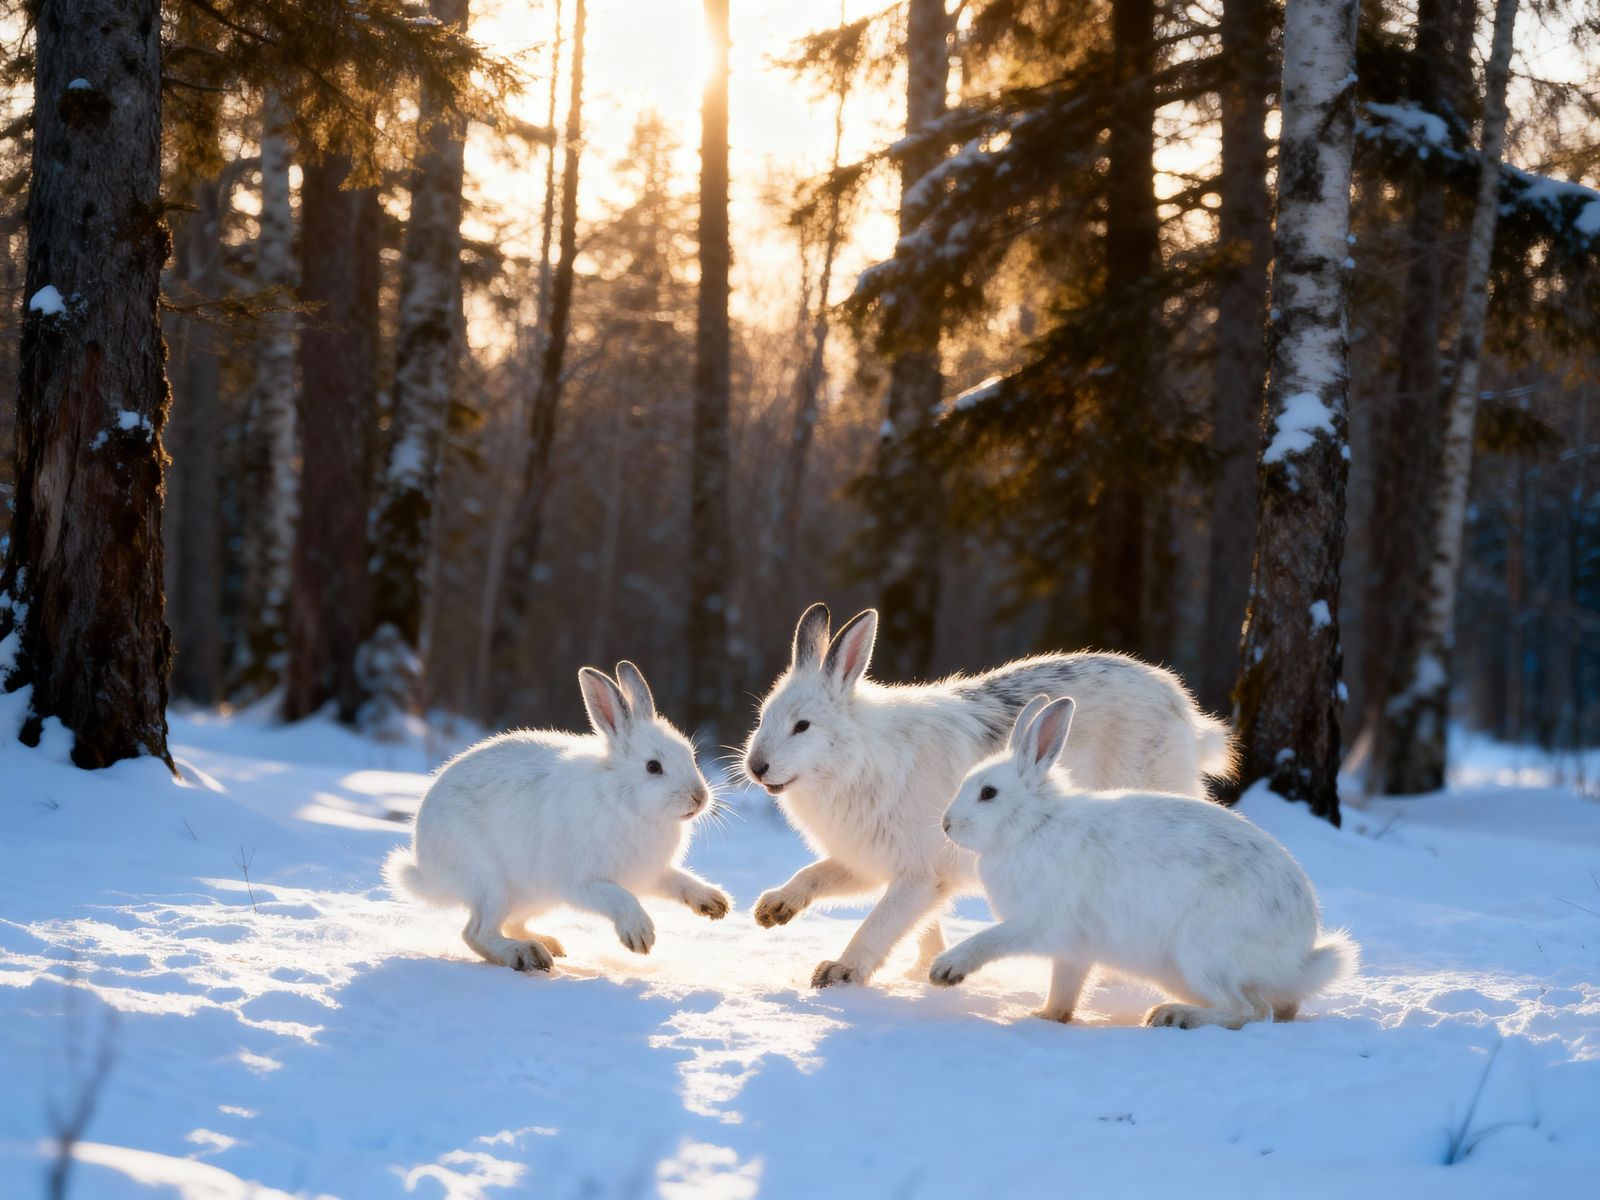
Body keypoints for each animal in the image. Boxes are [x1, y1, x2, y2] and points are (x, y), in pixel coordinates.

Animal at [384, 662, 731, 971]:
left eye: (690, 755)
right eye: (653, 767)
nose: (699, 798)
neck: (623, 797)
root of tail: (427, 869)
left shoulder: (651, 873)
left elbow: (679, 881)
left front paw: (715, 904)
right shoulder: (582, 880)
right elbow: (621, 899)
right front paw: (640, 935)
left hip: (529, 897)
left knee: (508, 925)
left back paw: (547, 944)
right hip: (490, 884)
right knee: (476, 933)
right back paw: (524, 955)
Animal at [741, 602, 1234, 989]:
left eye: (802, 726)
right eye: (763, 716)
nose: (755, 767)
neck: (859, 758)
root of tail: (1183, 711)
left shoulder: (920, 874)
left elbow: (880, 924)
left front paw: (841, 972)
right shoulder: (868, 861)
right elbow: (818, 877)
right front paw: (773, 909)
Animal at [931, 695, 1357, 1028]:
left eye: (988, 793)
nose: (947, 824)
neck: (1036, 825)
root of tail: (1297, 957)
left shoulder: (1040, 924)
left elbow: (988, 939)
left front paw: (945, 971)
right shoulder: (1073, 952)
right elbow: (1065, 986)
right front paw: (1046, 1017)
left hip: (1203, 951)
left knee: (1249, 1010)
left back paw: (1173, 1016)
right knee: (1276, 1007)